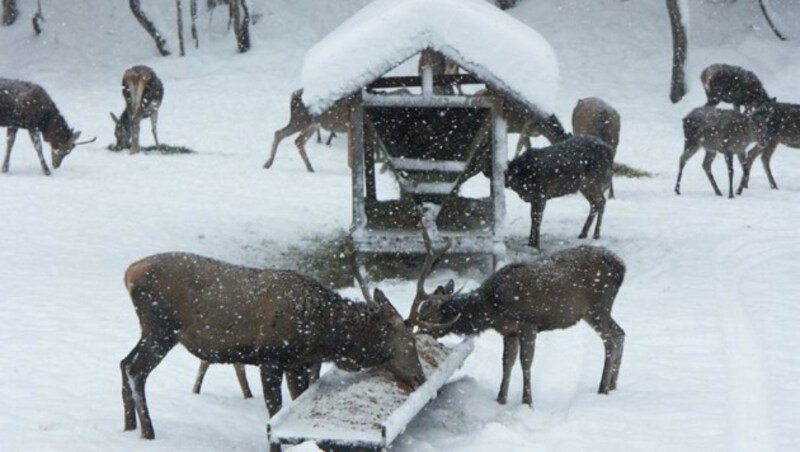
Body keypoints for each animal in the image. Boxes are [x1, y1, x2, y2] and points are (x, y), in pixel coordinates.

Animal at [119, 249, 424, 440]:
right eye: (409, 340)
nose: (420, 377)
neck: (323, 334)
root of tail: (129, 273)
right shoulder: (271, 357)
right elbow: (274, 410)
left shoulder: (298, 363)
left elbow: (294, 400)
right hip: (161, 329)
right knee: (136, 370)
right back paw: (148, 432)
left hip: (150, 331)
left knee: (123, 362)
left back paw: (128, 425)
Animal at [410, 244, 628, 410]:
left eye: (425, 316)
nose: (416, 336)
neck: (491, 309)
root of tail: (622, 267)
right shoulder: (509, 331)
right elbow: (507, 362)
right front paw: (500, 399)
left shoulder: (528, 324)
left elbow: (525, 362)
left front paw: (527, 402)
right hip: (596, 311)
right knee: (620, 333)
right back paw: (613, 385)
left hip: (598, 307)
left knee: (611, 339)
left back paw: (603, 388)